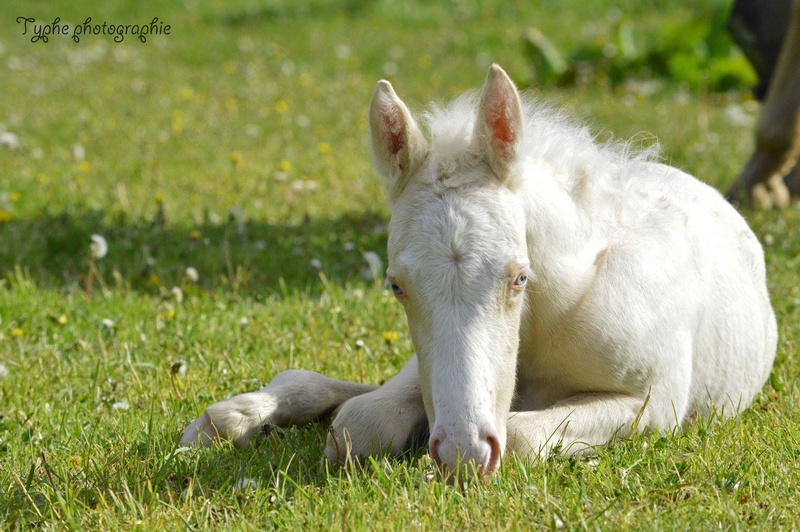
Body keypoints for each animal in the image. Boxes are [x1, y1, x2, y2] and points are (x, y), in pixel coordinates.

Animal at [181, 64, 776, 480]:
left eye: (519, 277)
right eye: (396, 286)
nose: (463, 453)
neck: (547, 319)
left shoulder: (658, 402)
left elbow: (521, 438)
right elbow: (358, 423)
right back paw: (226, 419)